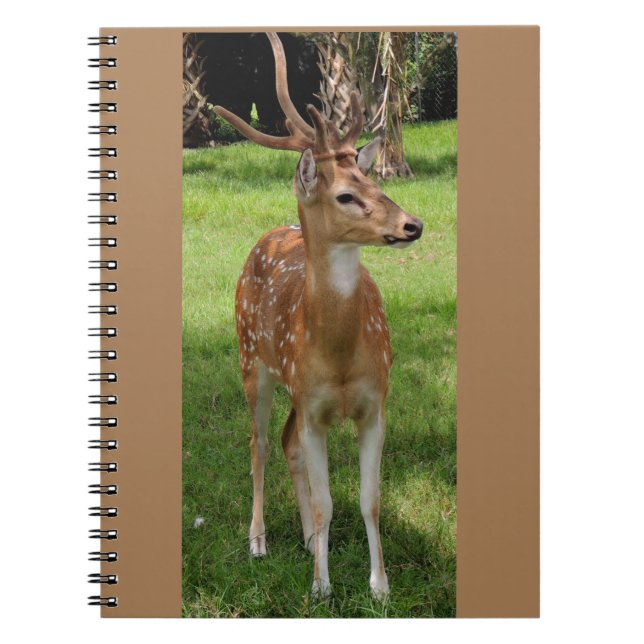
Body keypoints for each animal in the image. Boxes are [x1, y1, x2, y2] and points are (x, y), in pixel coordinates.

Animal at [214, 32, 423, 600]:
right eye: (345, 194)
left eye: (377, 184)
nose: (412, 224)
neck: (342, 357)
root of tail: (269, 234)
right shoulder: (313, 407)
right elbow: (330, 500)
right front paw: (321, 588)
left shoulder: (374, 403)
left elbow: (369, 499)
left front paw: (379, 586)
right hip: (252, 361)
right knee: (260, 443)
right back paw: (259, 540)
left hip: (293, 388)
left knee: (286, 445)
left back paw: (308, 539)